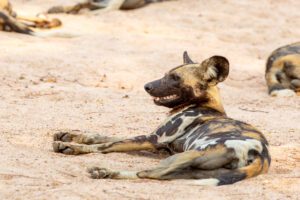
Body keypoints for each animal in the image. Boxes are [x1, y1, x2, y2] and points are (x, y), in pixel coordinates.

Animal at [52, 52, 270, 186]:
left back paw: (105, 171)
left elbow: (104, 146)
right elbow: (102, 136)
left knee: (150, 173)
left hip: (185, 156)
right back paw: (105, 173)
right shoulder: (157, 143)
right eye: (166, 74)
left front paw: (73, 147)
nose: (147, 86)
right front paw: (71, 136)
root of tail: (261, 153)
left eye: (175, 78)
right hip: (195, 169)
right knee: (164, 175)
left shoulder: (154, 139)